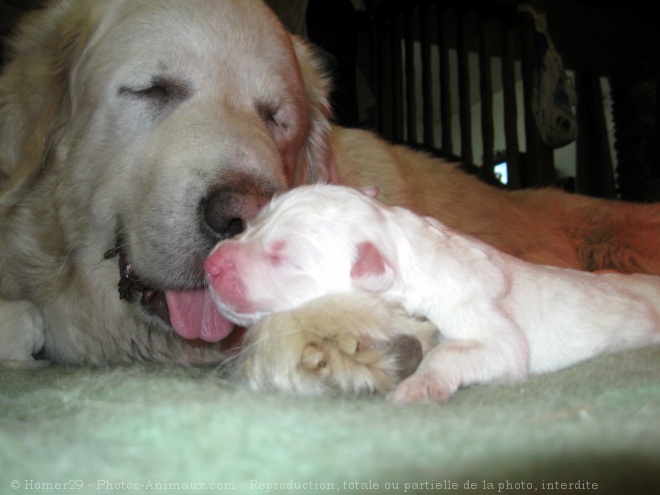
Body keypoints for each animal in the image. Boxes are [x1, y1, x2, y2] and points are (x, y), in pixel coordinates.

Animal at [206, 184, 660, 402]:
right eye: (255, 222)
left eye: (284, 258)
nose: (210, 264)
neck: (407, 244)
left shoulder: (487, 325)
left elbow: (462, 350)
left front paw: (419, 386)